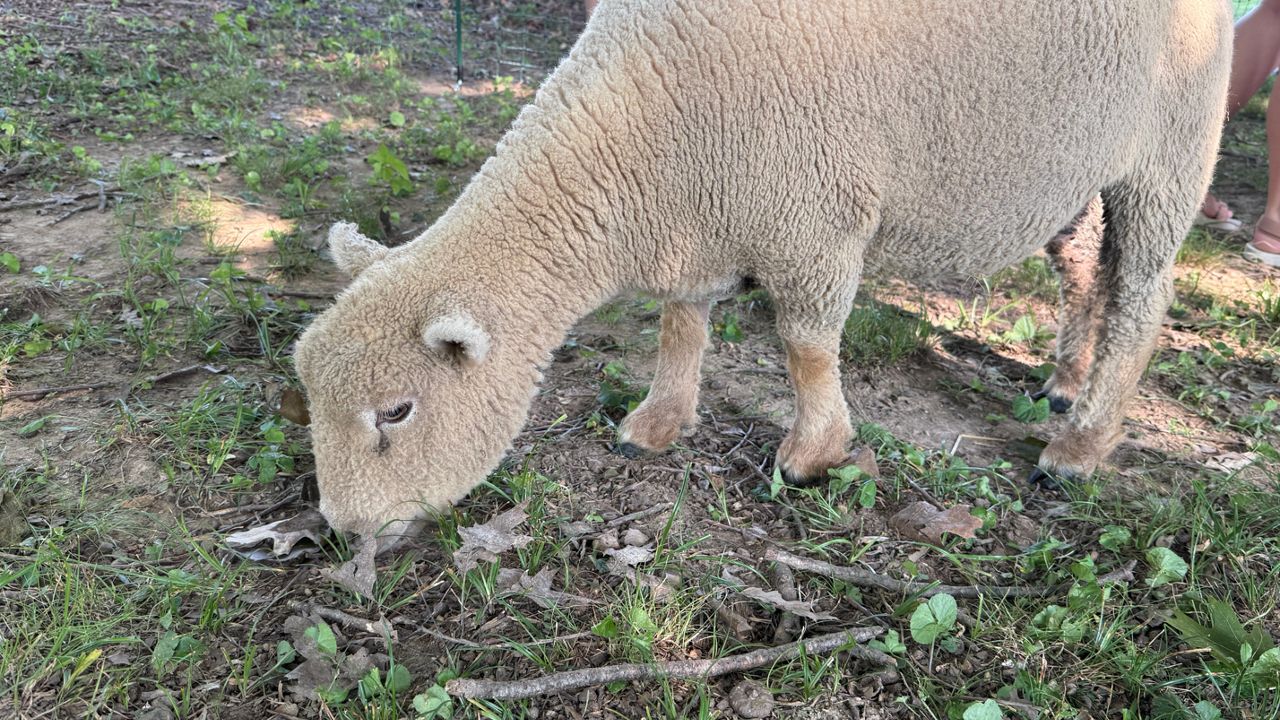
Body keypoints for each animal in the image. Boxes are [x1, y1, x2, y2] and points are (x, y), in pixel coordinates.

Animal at [293, 0, 1233, 547]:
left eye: (396, 411)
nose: (341, 530)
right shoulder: (701, 227)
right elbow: (681, 325)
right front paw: (657, 422)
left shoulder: (815, 220)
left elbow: (806, 347)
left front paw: (813, 454)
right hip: (1080, 169)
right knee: (1087, 271)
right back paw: (1065, 385)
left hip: (1172, 146)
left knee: (1143, 293)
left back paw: (1078, 447)